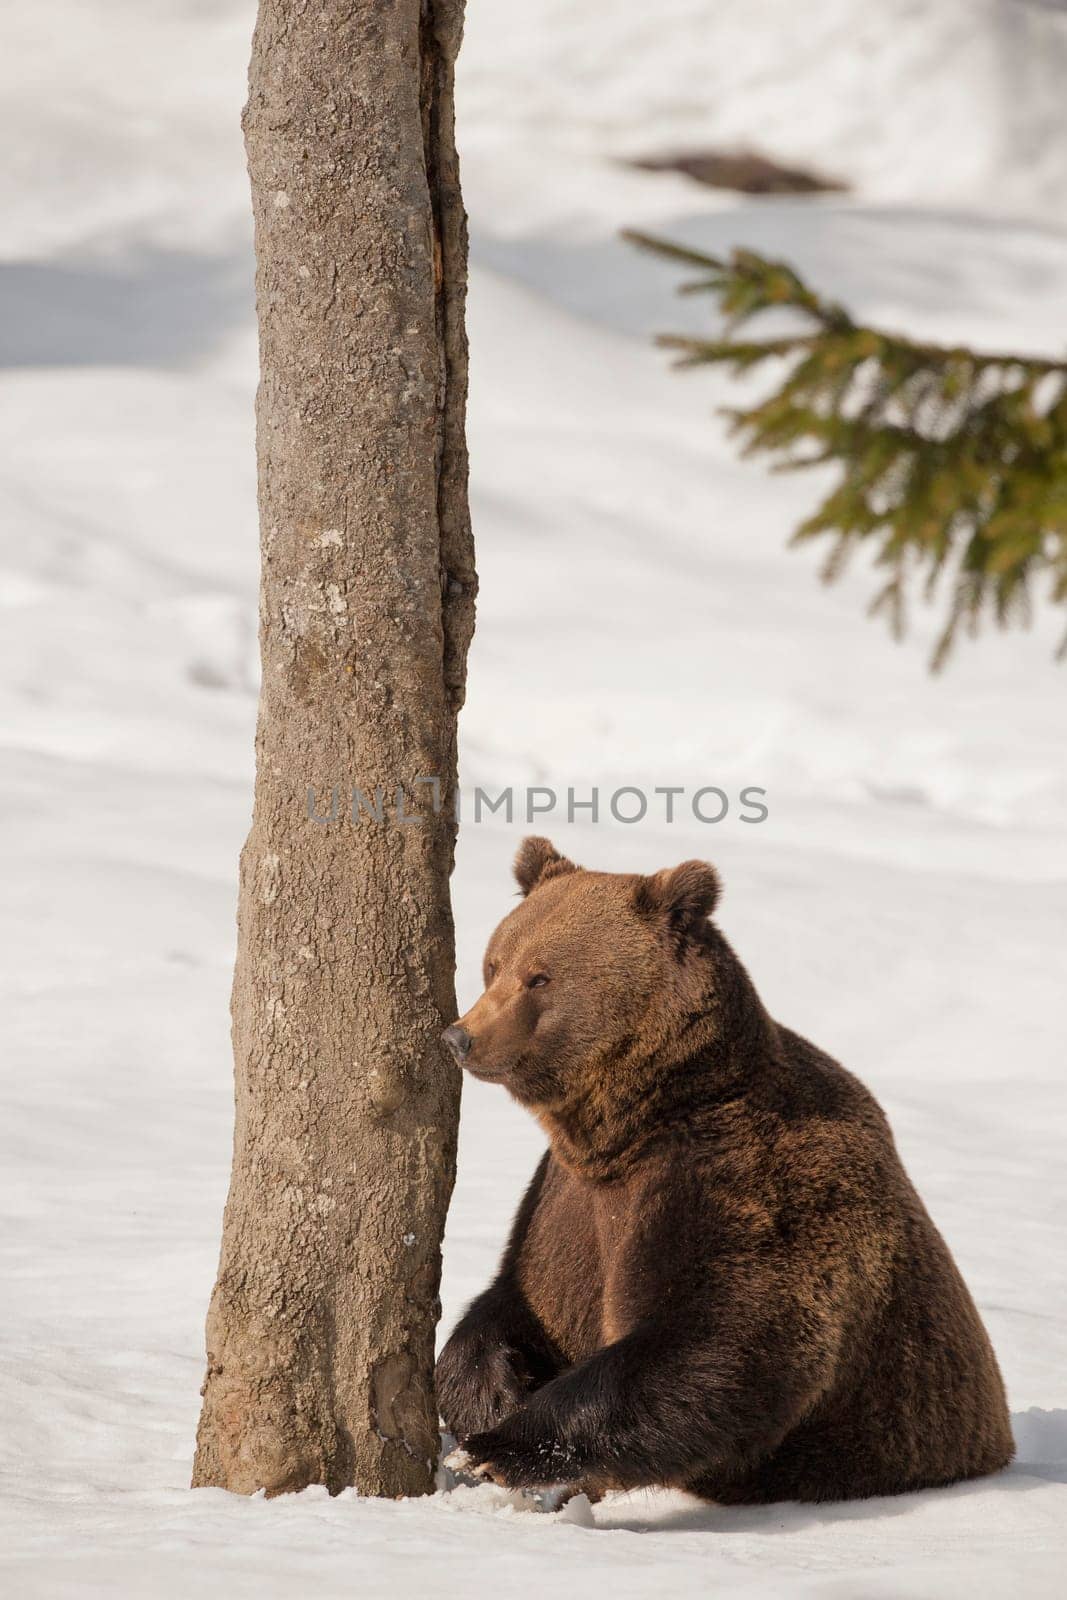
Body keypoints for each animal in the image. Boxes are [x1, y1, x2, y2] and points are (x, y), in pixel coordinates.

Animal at [435, 844, 1017, 1504]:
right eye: (494, 963)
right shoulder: (561, 1203)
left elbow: (723, 1341)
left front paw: (502, 1448)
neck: (630, 1125)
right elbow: (512, 1301)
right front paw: (488, 1396)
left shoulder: (738, 1183)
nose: (461, 1036)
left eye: (541, 976)